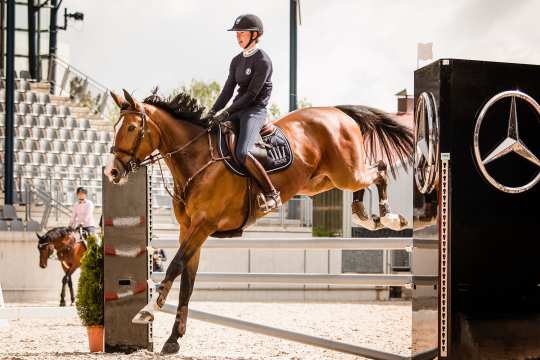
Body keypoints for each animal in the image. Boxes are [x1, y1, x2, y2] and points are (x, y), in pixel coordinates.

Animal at [103, 88, 412, 352]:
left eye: (131, 128)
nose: (112, 172)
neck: (197, 159)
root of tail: (337, 112)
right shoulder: (188, 230)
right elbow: (188, 280)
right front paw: (173, 339)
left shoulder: (203, 225)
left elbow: (175, 266)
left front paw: (147, 311)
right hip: (322, 180)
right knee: (369, 177)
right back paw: (367, 216)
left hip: (345, 171)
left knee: (380, 169)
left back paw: (390, 218)